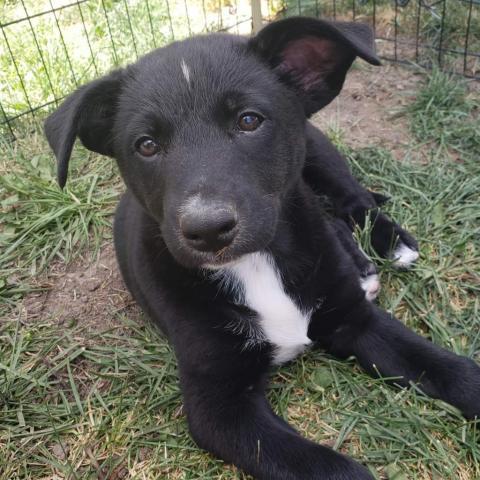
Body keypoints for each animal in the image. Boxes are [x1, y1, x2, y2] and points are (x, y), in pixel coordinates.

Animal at [44, 17, 476, 480]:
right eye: (146, 145)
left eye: (249, 120)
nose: (208, 229)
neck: (256, 265)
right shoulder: (220, 405)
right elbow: (330, 467)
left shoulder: (356, 321)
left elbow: (456, 372)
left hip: (317, 149)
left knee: (351, 201)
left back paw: (388, 244)